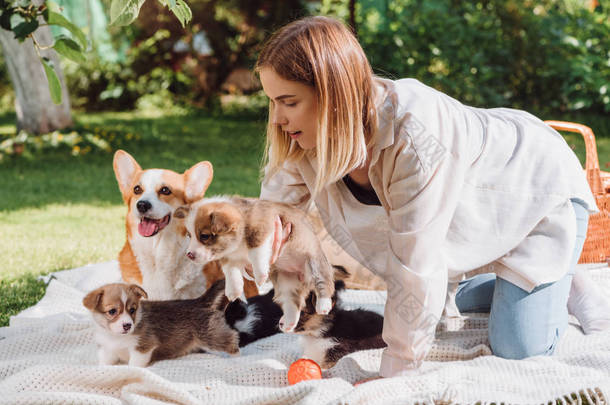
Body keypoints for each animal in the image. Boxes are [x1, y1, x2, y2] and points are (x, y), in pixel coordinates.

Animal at [82, 278, 238, 366]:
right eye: (112, 311)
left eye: (132, 310)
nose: (127, 325)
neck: (116, 337)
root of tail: (200, 301)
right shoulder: (107, 350)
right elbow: (105, 364)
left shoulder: (143, 347)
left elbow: (133, 365)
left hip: (212, 336)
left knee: (232, 338)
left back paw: (236, 358)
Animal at [178, 196, 334, 332]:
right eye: (189, 236)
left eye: (204, 236)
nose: (189, 254)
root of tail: (303, 278)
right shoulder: (229, 258)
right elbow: (231, 273)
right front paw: (233, 291)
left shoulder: (262, 231)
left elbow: (257, 253)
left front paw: (260, 275)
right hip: (287, 282)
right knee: (293, 302)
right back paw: (288, 322)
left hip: (315, 263)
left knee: (324, 283)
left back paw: (323, 305)